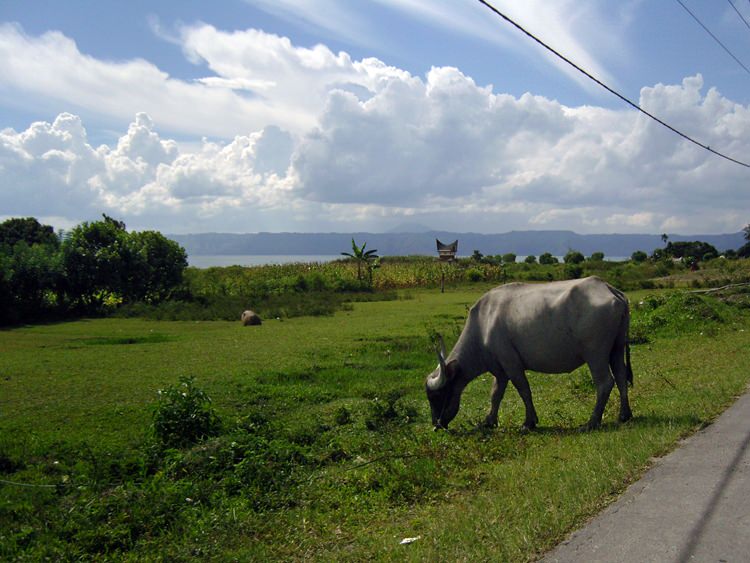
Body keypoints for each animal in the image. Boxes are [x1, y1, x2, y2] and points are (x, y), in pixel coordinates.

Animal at [426, 278, 632, 432]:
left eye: (436, 395)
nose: (436, 425)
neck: (483, 325)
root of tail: (610, 289)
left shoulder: (511, 364)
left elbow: (523, 389)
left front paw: (528, 422)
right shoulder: (500, 371)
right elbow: (495, 394)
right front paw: (489, 421)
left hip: (595, 354)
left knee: (605, 382)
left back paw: (592, 422)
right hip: (616, 348)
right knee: (621, 376)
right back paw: (624, 415)